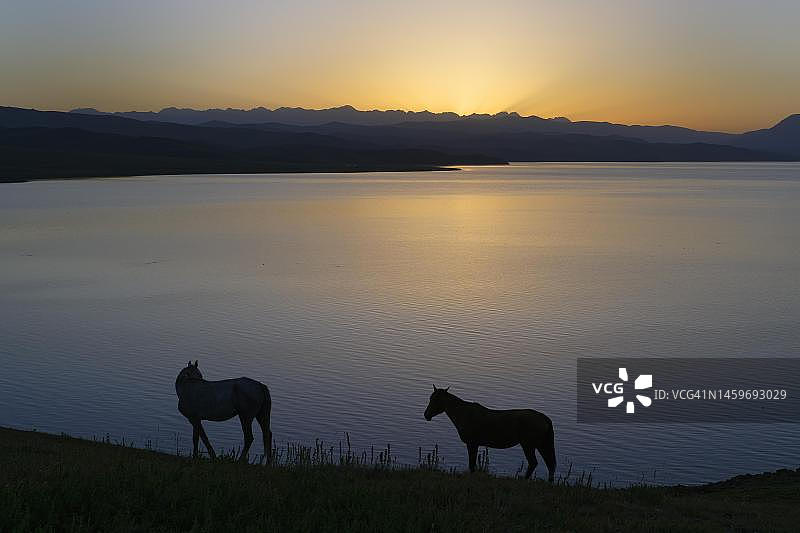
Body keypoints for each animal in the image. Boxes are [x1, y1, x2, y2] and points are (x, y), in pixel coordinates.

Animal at [423, 386, 556, 481]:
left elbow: (472, 464)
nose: (426, 415)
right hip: (541, 445)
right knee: (550, 464)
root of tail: (544, 418)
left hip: (529, 445)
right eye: (430, 398)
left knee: (534, 463)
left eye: (437, 400)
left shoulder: (472, 443)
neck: (463, 413)